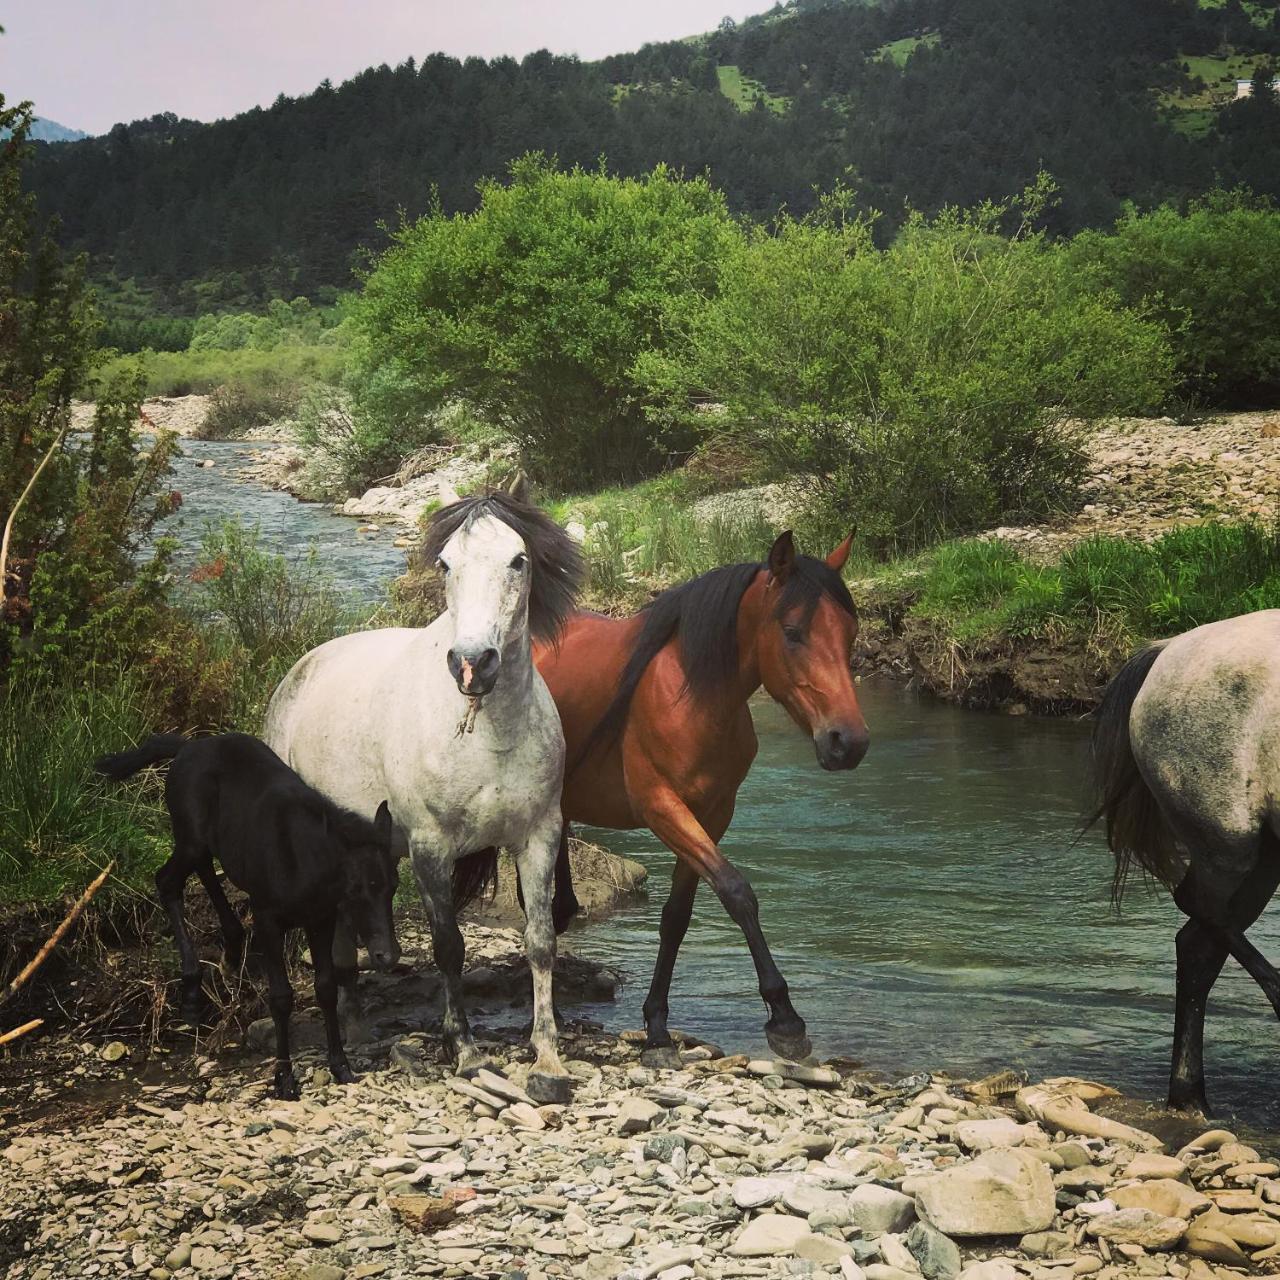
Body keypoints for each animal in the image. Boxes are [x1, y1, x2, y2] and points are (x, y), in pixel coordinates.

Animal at [96, 732, 399, 1100]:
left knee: (205, 869)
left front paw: (340, 1065)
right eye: (354, 889)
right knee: (168, 880)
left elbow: (326, 987)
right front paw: (284, 1079)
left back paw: (231, 947)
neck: (301, 857)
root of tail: (187, 747)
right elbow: (281, 997)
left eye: (394, 885)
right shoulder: (267, 919)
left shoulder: (321, 919)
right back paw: (192, 992)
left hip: (207, 843)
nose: (387, 955)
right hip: (190, 837)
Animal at [264, 486, 586, 1090]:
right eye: (445, 563)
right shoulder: (431, 848)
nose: (473, 664)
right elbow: (449, 947)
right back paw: (352, 1029)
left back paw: (356, 1025)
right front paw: (464, 1049)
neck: (489, 733)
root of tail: (298, 673)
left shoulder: (538, 837)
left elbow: (540, 942)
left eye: (518, 560)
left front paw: (547, 1056)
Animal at [535, 524, 865, 1064]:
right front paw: (785, 1018)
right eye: (793, 632)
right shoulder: (662, 808)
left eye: (850, 635)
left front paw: (656, 1026)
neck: (693, 696)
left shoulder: (710, 814)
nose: (848, 742)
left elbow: (676, 918)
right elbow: (737, 891)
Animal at [1090, 604, 1280, 1116]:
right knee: (1197, 919)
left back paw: (1189, 1095)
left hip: (1262, 859)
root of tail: (1169, 648)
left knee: (1199, 946)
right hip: (1229, 846)